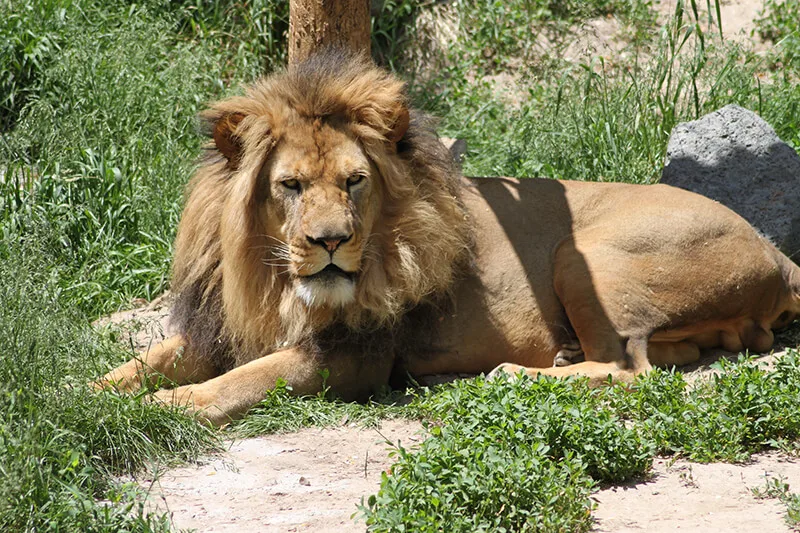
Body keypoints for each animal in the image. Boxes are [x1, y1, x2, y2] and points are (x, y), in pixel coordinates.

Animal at [97, 48, 800, 424]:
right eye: (290, 185)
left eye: (355, 182)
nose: (331, 242)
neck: (268, 277)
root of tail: (775, 250)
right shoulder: (216, 327)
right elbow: (139, 364)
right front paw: (87, 398)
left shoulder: (350, 357)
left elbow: (232, 385)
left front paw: (155, 410)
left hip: (581, 254)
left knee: (632, 370)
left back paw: (514, 376)